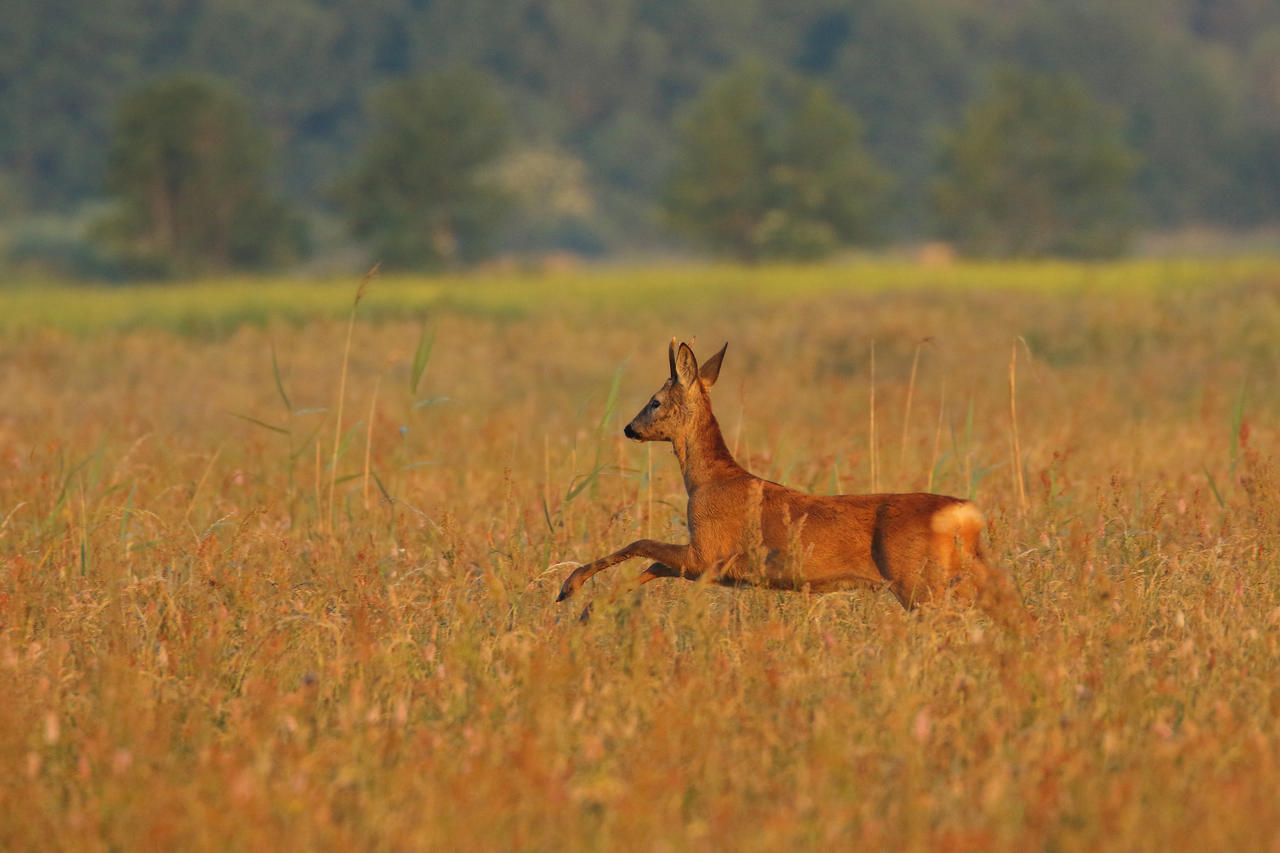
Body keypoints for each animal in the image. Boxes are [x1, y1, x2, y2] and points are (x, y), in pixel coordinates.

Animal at [560, 338, 1029, 625]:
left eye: (655, 401)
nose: (629, 428)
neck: (707, 481)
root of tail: (964, 514)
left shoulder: (709, 551)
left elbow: (641, 545)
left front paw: (571, 590)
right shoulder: (709, 564)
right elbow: (653, 564)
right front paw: (589, 609)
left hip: (917, 579)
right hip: (965, 568)